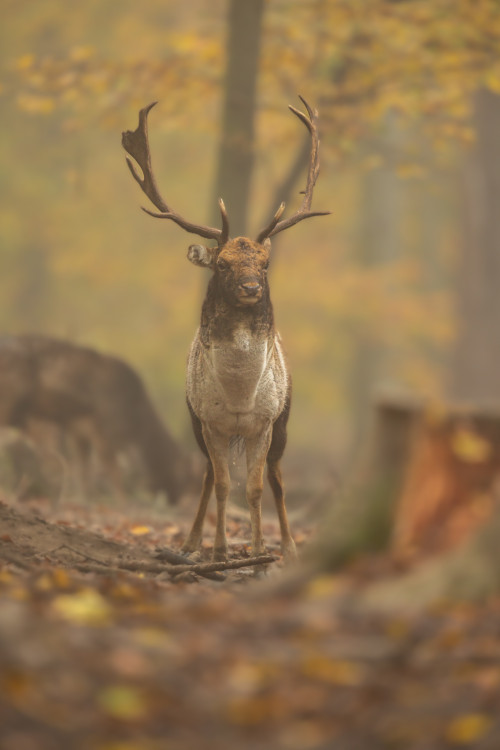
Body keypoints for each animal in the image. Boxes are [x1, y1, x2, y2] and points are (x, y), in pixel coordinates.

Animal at [123, 97, 330, 560]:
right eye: (222, 264)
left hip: (284, 420)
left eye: (265, 264)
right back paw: (191, 541)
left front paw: (258, 550)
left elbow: (254, 488)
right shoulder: (208, 420)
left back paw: (289, 546)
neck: (238, 397)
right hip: (196, 422)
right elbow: (220, 484)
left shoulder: (265, 422)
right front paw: (218, 551)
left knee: (277, 478)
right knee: (204, 475)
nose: (251, 287)